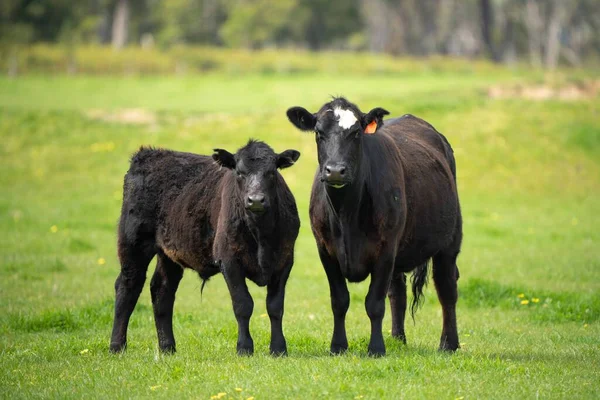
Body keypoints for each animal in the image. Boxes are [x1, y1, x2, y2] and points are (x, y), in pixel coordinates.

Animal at [109, 139, 300, 354]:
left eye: (272, 172)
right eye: (239, 172)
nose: (256, 200)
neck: (260, 235)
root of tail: (148, 154)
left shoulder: (284, 260)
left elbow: (275, 307)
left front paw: (278, 348)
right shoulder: (229, 261)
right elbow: (243, 304)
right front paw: (244, 347)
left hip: (169, 254)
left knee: (162, 290)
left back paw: (168, 347)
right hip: (133, 242)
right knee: (128, 286)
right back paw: (117, 346)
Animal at [288, 97, 462, 356]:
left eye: (356, 133)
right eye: (319, 132)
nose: (335, 170)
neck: (346, 214)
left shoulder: (386, 249)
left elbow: (375, 303)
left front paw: (376, 348)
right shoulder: (325, 250)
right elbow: (339, 300)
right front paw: (338, 346)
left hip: (449, 241)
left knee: (447, 288)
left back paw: (449, 344)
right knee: (398, 293)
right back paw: (397, 339)